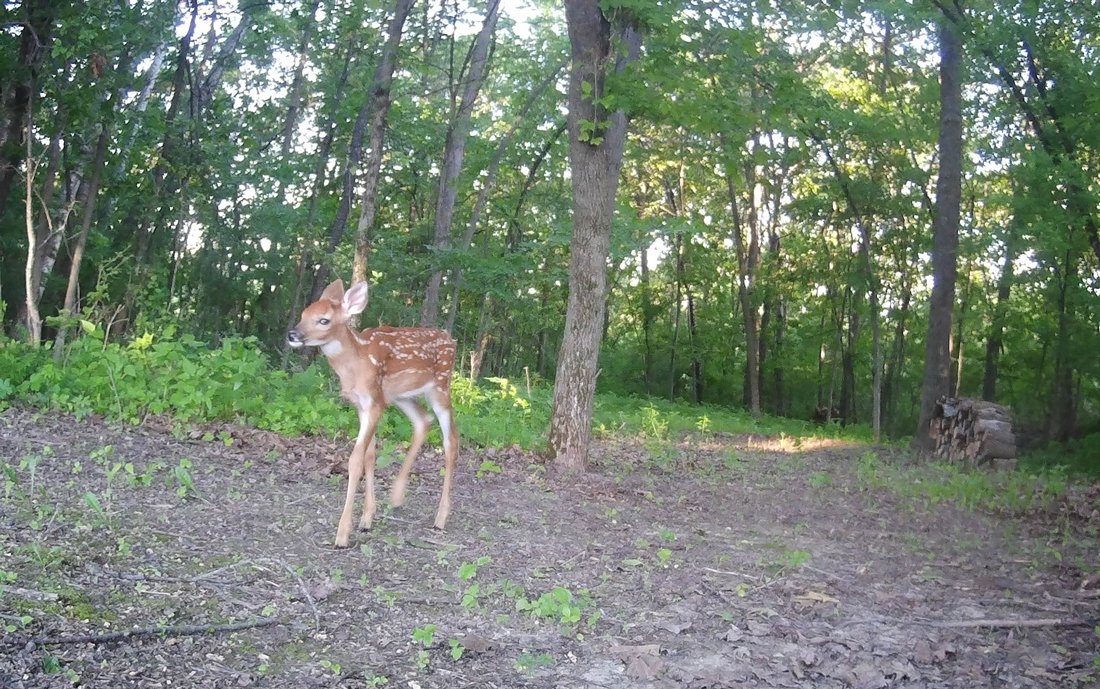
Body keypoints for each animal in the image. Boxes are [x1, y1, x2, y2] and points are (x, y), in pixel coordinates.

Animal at [287, 279, 459, 548]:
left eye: (324, 320)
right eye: (304, 314)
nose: (292, 334)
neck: (356, 363)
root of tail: (452, 340)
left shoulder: (375, 402)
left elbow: (356, 459)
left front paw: (342, 534)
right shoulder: (362, 404)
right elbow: (370, 455)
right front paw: (367, 519)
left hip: (440, 387)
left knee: (450, 439)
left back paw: (440, 518)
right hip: (401, 396)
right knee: (423, 421)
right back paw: (397, 497)